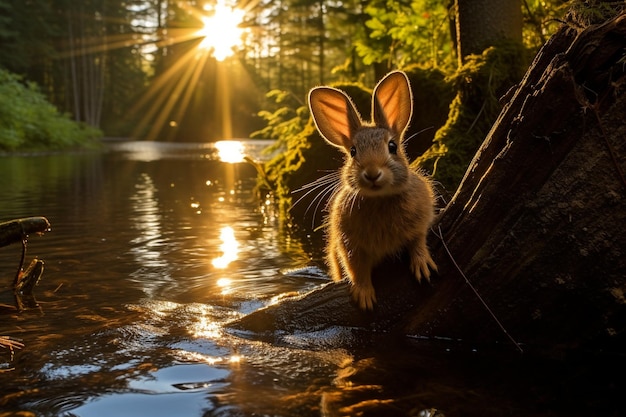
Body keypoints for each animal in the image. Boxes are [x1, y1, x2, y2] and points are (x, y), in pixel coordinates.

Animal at [306, 70, 434, 308]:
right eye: (353, 151)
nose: (372, 173)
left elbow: (418, 242)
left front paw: (423, 267)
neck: (379, 198)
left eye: (392, 146)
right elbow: (357, 268)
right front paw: (364, 296)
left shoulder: (420, 223)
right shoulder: (349, 245)